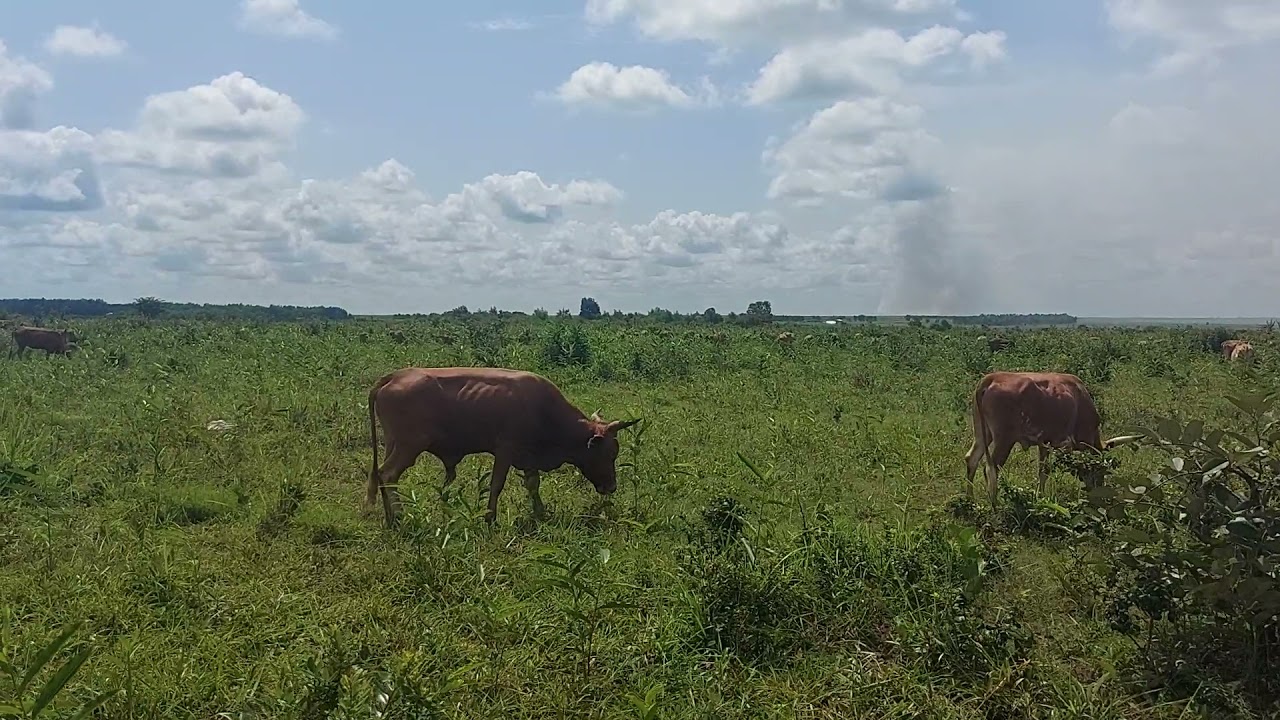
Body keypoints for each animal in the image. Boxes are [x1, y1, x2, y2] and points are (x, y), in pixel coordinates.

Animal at [366, 366, 642, 527]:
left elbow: (533, 485)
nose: (611, 487)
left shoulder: (529, 457)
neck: (545, 411)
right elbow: (496, 485)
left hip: (393, 443)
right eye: (608, 453)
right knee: (388, 475)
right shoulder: (505, 450)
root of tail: (397, 375)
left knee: (379, 474)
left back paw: (389, 516)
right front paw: (490, 517)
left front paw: (540, 513)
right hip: (409, 446)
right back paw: (399, 516)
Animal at [963, 371, 1119, 508]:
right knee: (991, 468)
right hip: (1004, 440)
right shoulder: (1062, 442)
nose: (1099, 495)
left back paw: (970, 500)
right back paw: (994, 504)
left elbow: (1043, 472)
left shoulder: (1044, 443)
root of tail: (993, 377)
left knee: (972, 459)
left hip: (982, 433)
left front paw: (1041, 497)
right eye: (1101, 471)